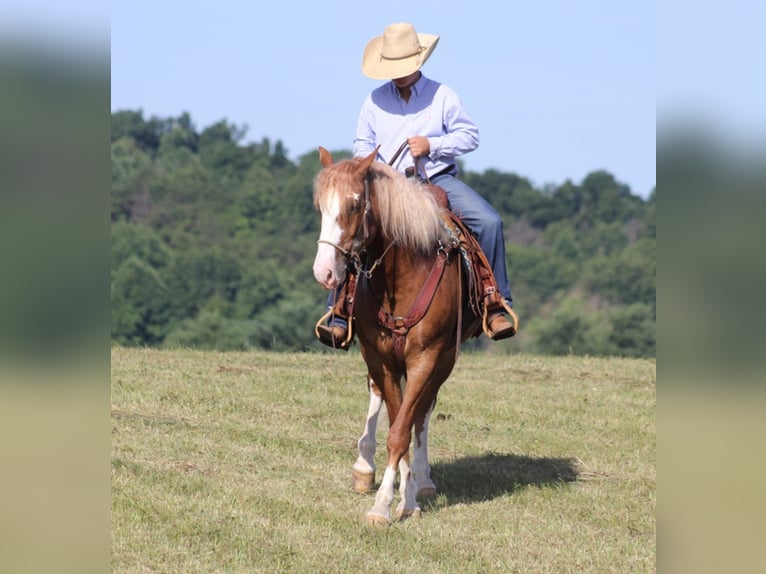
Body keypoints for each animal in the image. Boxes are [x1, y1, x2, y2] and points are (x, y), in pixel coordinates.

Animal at [312, 147, 486, 528]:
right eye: (320, 206)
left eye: (354, 204)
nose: (325, 271)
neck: (405, 276)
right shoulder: (380, 357)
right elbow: (395, 422)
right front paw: (393, 497)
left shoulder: (427, 358)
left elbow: (404, 428)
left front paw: (392, 502)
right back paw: (370, 468)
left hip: (443, 361)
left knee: (422, 412)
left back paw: (421, 480)